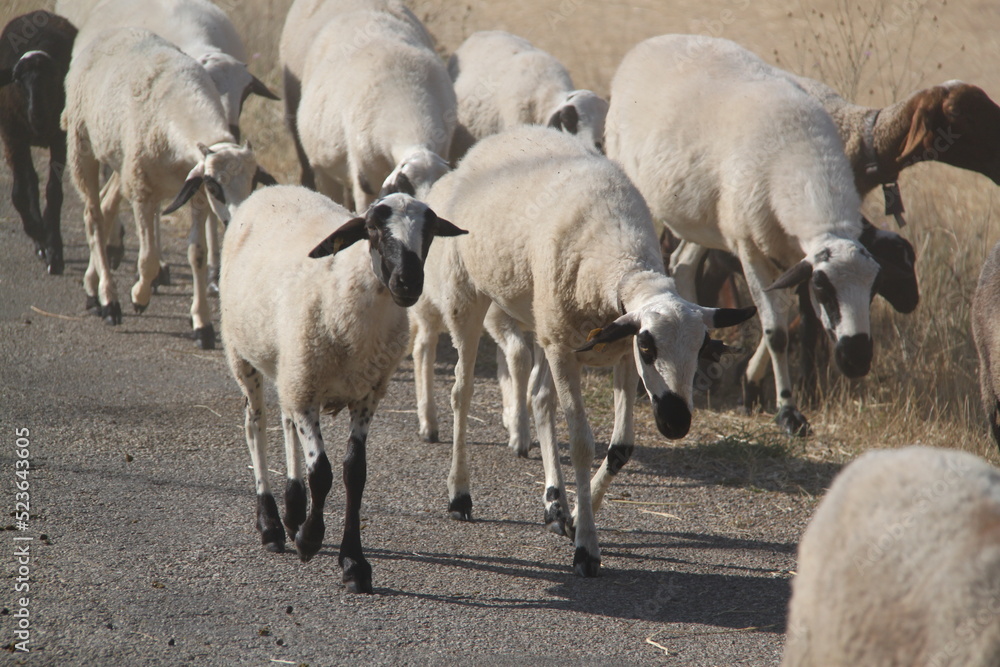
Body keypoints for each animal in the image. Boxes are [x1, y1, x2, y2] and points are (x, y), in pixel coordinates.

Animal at [0, 10, 77, 276]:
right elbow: (19, 194)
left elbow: (54, 192)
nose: (38, 115)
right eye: (17, 80)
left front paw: (54, 251)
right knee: (30, 182)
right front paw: (38, 235)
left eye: (53, 79)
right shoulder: (12, 137)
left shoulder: (60, 140)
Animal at [62, 27, 272, 347]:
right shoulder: (143, 190)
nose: (240, 221)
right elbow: (148, 257)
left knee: (106, 206)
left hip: (121, 160)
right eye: (215, 186)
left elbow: (197, 254)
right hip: (82, 143)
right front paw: (139, 297)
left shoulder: (194, 194)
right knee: (93, 216)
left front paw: (202, 325)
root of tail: (116, 31)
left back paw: (92, 289)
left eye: (253, 182)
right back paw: (109, 300)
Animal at [219, 186, 465, 594]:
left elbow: (355, 473)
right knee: (256, 425)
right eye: (372, 229)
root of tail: (270, 189)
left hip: (291, 366)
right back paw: (271, 525)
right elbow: (322, 473)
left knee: (285, 420)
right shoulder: (307, 392)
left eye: (430, 232)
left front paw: (354, 563)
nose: (409, 283)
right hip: (245, 355)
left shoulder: (364, 395)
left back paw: (293, 508)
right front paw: (309, 539)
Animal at [411, 125, 756, 576]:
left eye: (700, 349)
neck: (621, 263)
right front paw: (586, 549)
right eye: (648, 345)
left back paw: (554, 504)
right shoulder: (575, 349)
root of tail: (502, 136)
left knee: (538, 397)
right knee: (462, 393)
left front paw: (574, 515)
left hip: (543, 321)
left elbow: (621, 447)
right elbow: (580, 444)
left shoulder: (615, 353)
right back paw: (460, 494)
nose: (677, 423)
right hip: (468, 296)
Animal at [604, 34, 907, 436]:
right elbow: (776, 330)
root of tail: (654, 41)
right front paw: (788, 412)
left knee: (682, 264)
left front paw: (750, 383)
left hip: (704, 219)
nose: (857, 360)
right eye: (824, 288)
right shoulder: (749, 245)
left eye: (874, 288)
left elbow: (783, 318)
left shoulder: (789, 253)